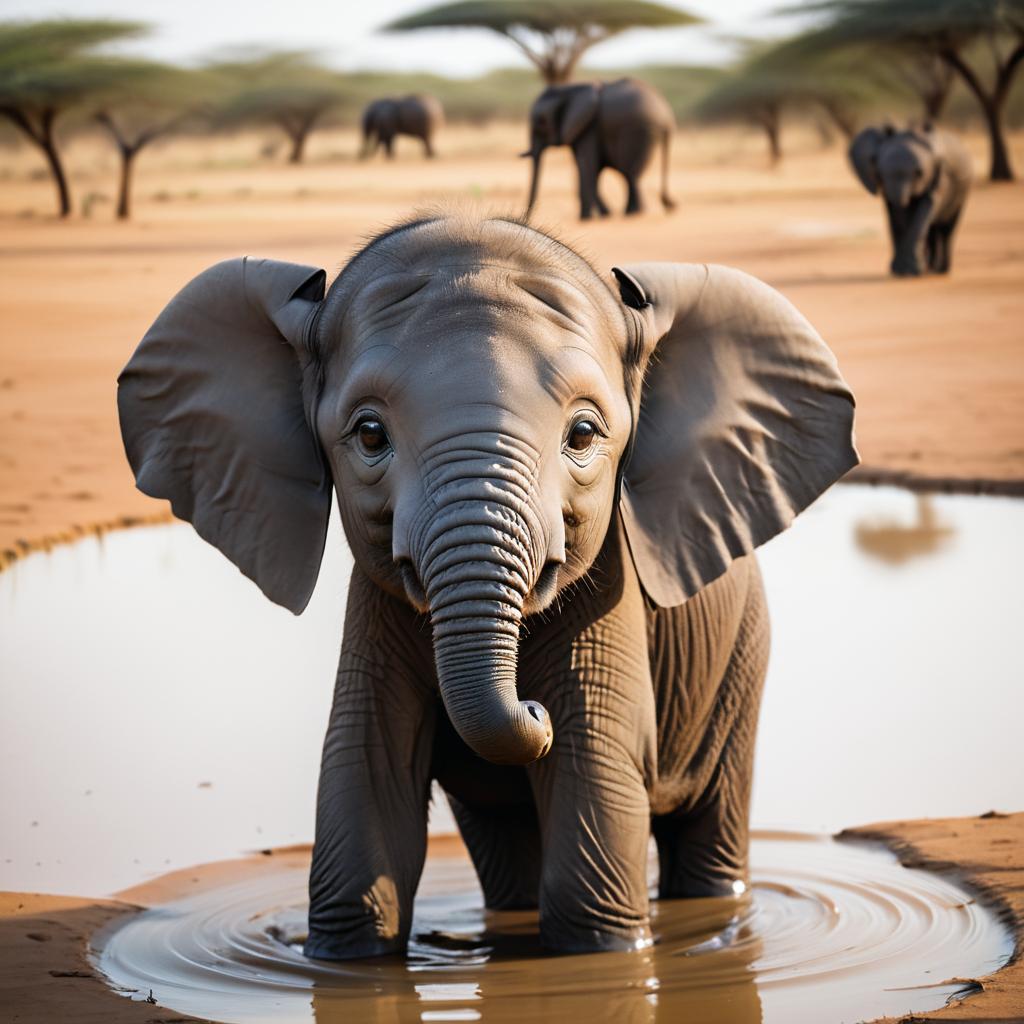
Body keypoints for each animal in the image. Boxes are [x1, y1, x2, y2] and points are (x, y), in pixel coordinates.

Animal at [117, 214, 856, 958]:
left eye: (583, 434)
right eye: (370, 434)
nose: (533, 708)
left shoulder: (612, 595)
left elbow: (593, 807)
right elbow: (365, 788)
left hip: (741, 657)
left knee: (709, 827)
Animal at [524, 79, 675, 222]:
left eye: (541, 122)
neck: (570, 90)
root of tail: (667, 115)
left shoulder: (589, 127)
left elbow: (587, 166)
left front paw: (587, 219)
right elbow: (586, 167)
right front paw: (599, 216)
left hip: (638, 130)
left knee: (630, 173)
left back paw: (633, 213)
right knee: (629, 174)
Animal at [851, 122, 970, 276]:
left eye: (919, 173)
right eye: (880, 172)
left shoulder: (940, 175)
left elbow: (926, 205)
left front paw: (912, 271)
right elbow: (895, 217)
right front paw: (900, 271)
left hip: (963, 192)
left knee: (946, 229)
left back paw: (940, 270)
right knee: (933, 229)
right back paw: (930, 268)